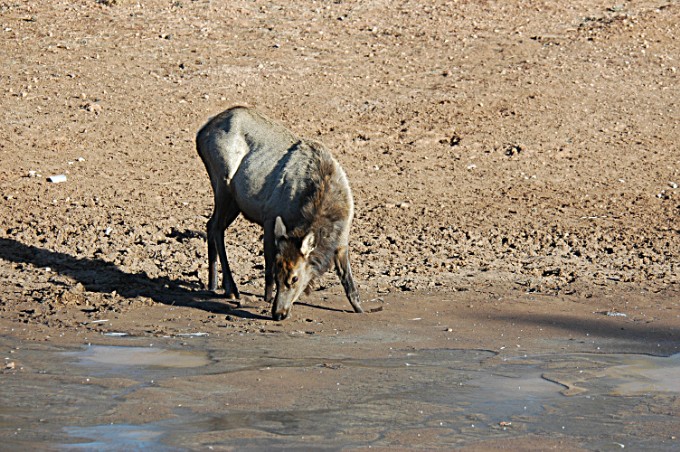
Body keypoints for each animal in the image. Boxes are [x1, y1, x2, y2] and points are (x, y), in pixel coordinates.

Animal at [196, 106, 363, 320]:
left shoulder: (342, 241)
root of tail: (201, 133)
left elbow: (348, 279)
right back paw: (231, 288)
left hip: (234, 201)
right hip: (222, 182)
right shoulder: (269, 216)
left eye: (295, 278)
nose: (278, 313)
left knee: (211, 225)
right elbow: (268, 260)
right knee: (216, 227)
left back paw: (214, 284)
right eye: (279, 275)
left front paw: (359, 308)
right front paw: (267, 297)